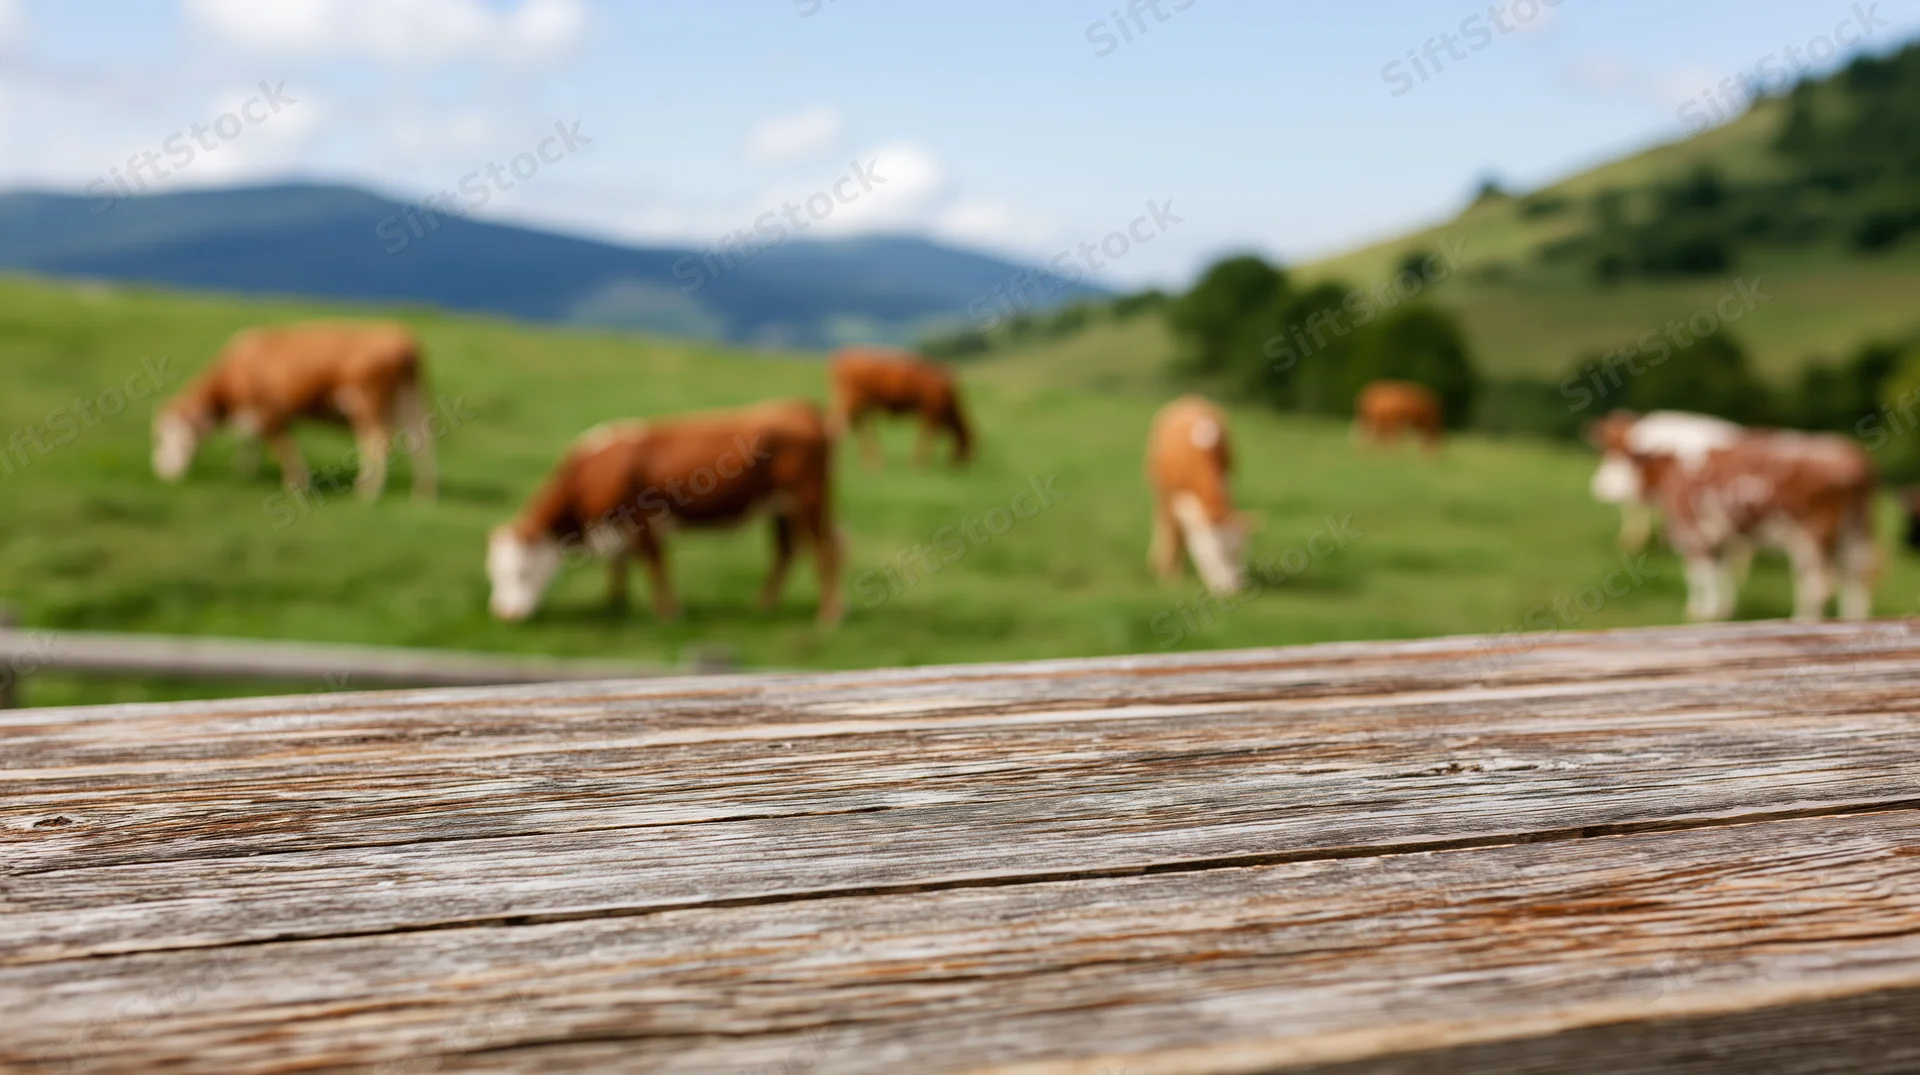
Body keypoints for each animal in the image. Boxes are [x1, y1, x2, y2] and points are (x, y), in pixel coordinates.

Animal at [152, 321, 436, 501]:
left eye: (167, 437)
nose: (161, 471)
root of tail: (401, 337)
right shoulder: (257, 418)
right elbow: (250, 444)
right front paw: (246, 473)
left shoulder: (271, 415)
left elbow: (285, 450)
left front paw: (297, 486)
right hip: (408, 400)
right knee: (419, 441)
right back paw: (422, 494)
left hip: (366, 403)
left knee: (377, 442)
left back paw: (367, 492)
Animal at [487, 399, 843, 627]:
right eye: (494, 573)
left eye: (521, 572)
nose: (504, 615)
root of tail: (800, 406)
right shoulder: (621, 531)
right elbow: (620, 566)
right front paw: (616, 604)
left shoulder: (643, 521)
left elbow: (655, 566)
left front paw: (669, 615)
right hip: (780, 509)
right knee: (785, 552)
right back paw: (764, 606)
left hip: (808, 501)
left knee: (826, 552)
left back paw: (828, 617)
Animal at [829, 348, 973, 468]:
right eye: (966, 443)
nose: (962, 465)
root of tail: (845, 356)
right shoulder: (930, 412)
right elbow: (927, 435)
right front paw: (920, 462)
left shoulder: (927, 414)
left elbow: (926, 434)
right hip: (852, 403)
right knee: (840, 427)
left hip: (860, 407)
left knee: (858, 428)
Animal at [1147, 395, 1260, 595]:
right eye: (1211, 554)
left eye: (1239, 551)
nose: (1232, 590)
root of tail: (1192, 397)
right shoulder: (1171, 498)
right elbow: (1174, 534)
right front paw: (1169, 577)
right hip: (1159, 491)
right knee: (1163, 524)